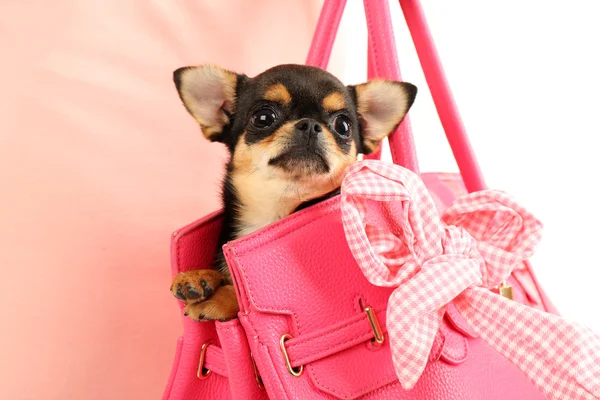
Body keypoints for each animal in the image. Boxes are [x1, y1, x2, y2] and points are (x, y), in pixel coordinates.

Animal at [166, 65, 414, 322]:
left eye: (343, 126)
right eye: (263, 118)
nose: (310, 125)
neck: (276, 208)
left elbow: (240, 293)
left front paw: (221, 296)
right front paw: (199, 276)